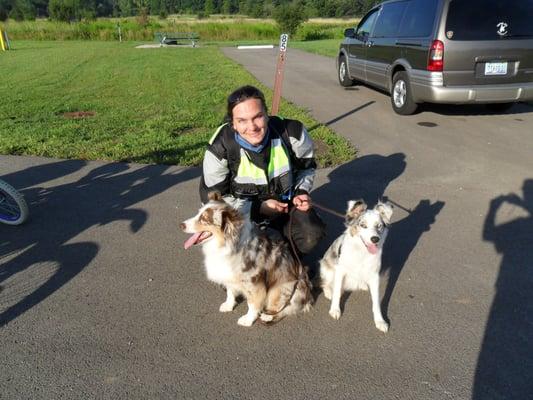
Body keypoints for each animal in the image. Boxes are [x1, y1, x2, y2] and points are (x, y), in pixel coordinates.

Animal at [320, 198, 390, 332]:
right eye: (363, 225)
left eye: (379, 226)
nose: (375, 239)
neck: (362, 252)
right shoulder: (340, 270)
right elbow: (337, 291)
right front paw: (335, 310)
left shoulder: (375, 275)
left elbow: (376, 302)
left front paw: (380, 321)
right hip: (327, 267)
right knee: (326, 284)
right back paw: (328, 292)